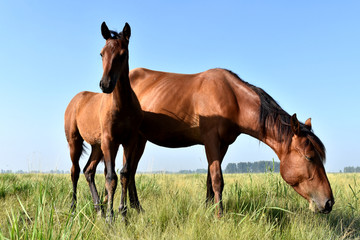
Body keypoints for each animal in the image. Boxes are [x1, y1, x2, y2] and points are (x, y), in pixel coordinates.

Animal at [64, 22, 143, 221]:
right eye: (101, 53)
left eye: (123, 54)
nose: (105, 84)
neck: (122, 106)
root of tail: (75, 100)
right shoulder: (110, 141)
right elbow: (110, 177)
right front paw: (110, 218)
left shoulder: (129, 141)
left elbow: (124, 174)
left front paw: (122, 214)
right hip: (75, 142)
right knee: (75, 171)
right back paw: (74, 209)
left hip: (96, 146)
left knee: (88, 171)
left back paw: (98, 208)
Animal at [118, 67, 334, 218]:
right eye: (309, 157)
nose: (329, 202)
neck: (233, 100)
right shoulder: (211, 141)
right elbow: (217, 179)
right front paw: (219, 216)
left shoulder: (223, 145)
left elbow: (209, 179)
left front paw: (208, 210)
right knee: (129, 172)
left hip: (141, 138)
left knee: (131, 172)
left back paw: (138, 209)